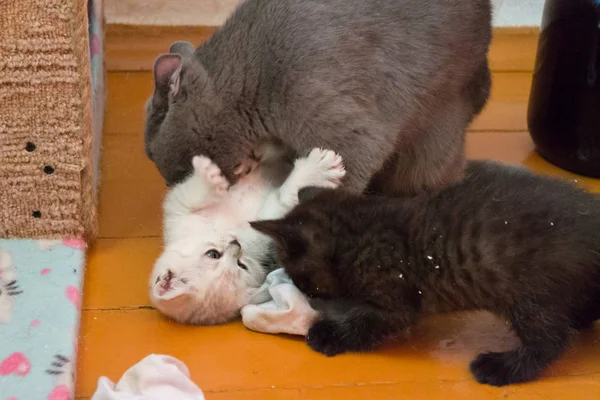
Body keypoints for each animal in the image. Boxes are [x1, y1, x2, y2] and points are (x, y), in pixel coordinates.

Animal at [150, 147, 346, 324]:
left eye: (212, 254)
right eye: (241, 265)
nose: (235, 243)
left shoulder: (178, 210)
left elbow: (194, 194)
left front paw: (210, 175)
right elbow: (282, 200)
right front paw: (317, 169)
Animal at [251, 160, 600, 388]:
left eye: (301, 280)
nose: (307, 297)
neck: (363, 229)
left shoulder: (396, 299)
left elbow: (365, 323)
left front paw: (327, 334)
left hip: (530, 293)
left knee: (550, 341)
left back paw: (499, 368)